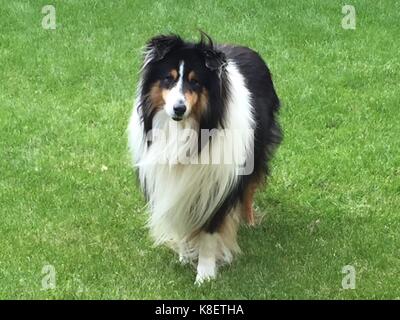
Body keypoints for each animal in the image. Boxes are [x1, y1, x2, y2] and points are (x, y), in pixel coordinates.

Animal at [128, 33, 282, 284]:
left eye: (195, 82)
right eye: (169, 79)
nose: (178, 109)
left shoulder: (215, 185)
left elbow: (210, 234)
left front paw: (205, 275)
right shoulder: (175, 185)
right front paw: (185, 255)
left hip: (255, 153)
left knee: (249, 188)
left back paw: (249, 220)